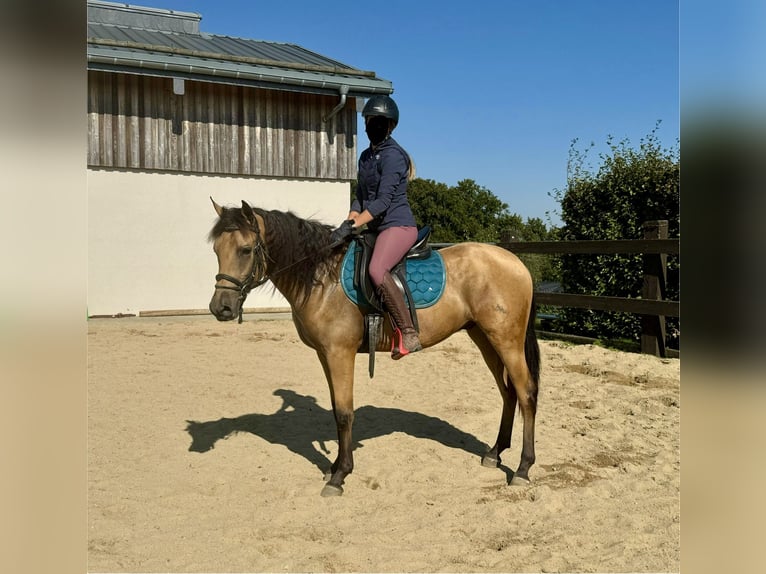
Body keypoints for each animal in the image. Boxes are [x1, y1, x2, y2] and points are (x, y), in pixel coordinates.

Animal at [207, 200, 544, 498]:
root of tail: (515, 262)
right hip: (484, 337)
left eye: (245, 250)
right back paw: (495, 453)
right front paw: (334, 467)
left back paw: (523, 468)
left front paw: (341, 475)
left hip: (506, 339)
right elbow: (336, 410)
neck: (322, 277)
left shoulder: (339, 353)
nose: (220, 308)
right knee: (509, 393)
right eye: (216, 250)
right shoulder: (324, 354)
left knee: (526, 392)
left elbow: (345, 413)